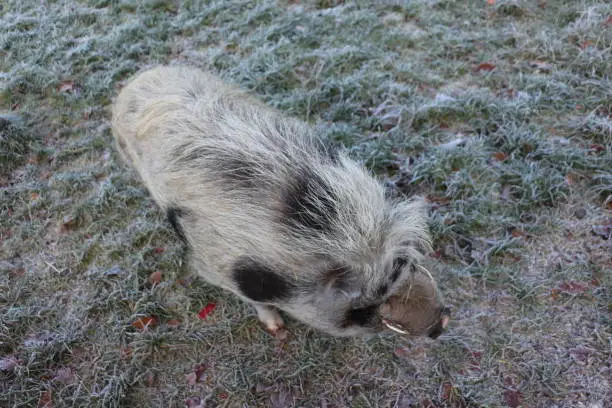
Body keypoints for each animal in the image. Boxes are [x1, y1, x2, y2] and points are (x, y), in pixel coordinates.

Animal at [110, 63, 448, 338]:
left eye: (405, 265)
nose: (440, 325)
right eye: (364, 306)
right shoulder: (218, 266)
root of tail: (135, 81)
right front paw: (276, 328)